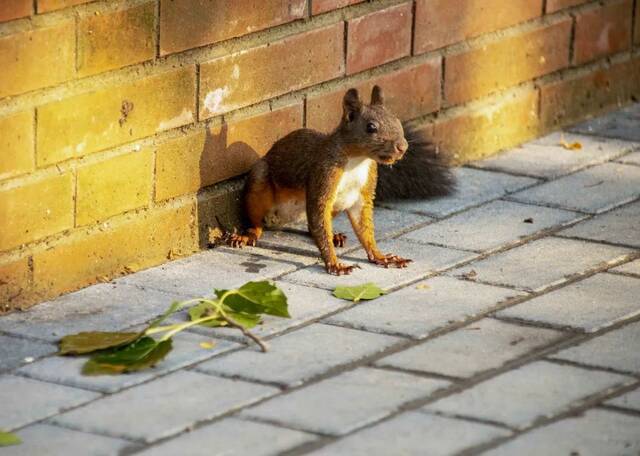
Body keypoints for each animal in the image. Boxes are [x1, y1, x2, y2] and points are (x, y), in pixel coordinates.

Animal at [228, 84, 452, 274]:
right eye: (371, 127)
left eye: (397, 120)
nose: (402, 147)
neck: (358, 160)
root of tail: (283, 220)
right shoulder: (323, 175)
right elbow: (320, 216)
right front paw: (335, 264)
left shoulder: (363, 193)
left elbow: (364, 228)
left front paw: (381, 257)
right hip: (259, 184)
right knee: (260, 220)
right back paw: (247, 235)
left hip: (337, 205)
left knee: (313, 226)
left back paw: (334, 235)